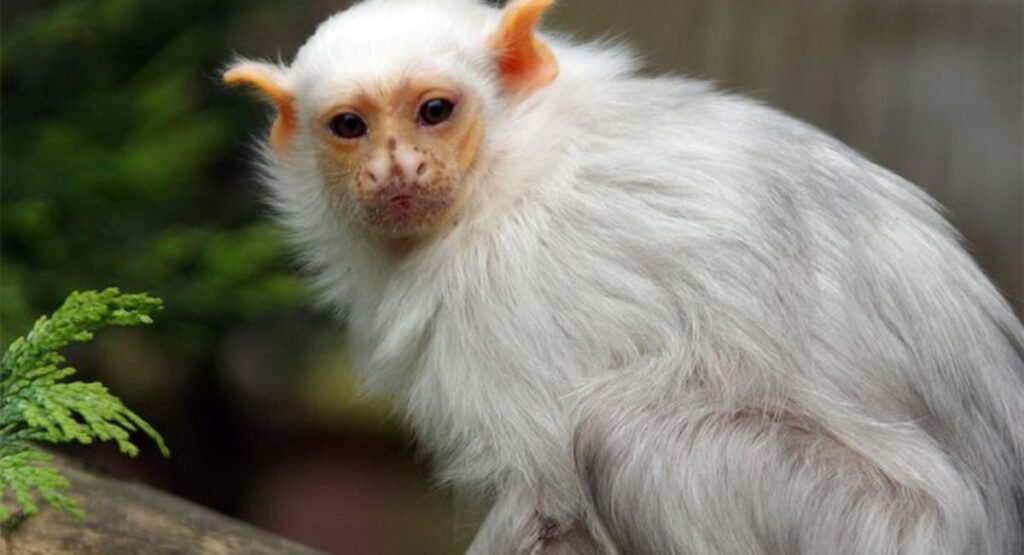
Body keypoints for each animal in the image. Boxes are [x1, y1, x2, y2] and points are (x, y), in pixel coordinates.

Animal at [223, 0, 1024, 553]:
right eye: (349, 127)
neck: (509, 171)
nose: (396, 172)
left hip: (871, 526)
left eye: (435, 111)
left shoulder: (508, 295)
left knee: (620, 434)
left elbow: (543, 500)